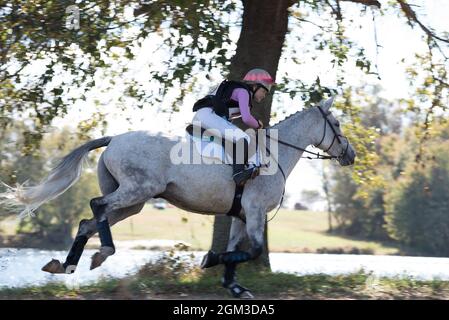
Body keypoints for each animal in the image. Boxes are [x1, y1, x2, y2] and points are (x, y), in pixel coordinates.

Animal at [1, 97, 356, 298]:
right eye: (337, 123)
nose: (350, 154)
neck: (273, 154)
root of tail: (114, 138)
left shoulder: (242, 215)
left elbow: (234, 252)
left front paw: (234, 286)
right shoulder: (255, 213)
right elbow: (251, 250)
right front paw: (209, 260)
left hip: (133, 202)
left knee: (89, 222)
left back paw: (67, 265)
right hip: (136, 191)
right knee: (97, 207)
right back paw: (103, 251)